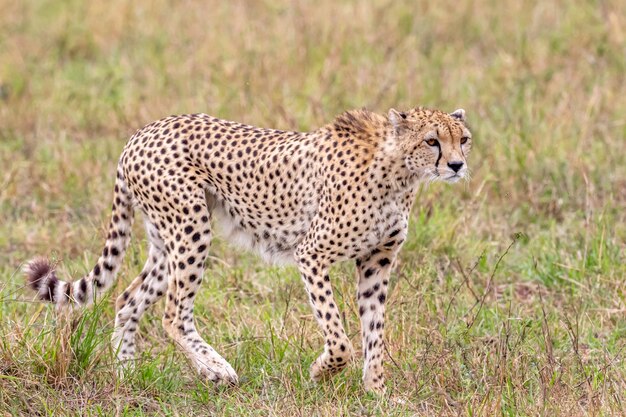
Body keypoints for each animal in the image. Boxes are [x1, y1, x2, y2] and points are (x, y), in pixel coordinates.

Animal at [26, 105, 470, 392]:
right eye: (432, 141)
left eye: (463, 139)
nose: (457, 165)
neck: (399, 172)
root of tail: (143, 131)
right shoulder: (312, 254)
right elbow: (340, 337)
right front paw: (322, 372)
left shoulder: (377, 263)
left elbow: (375, 331)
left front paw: (376, 393)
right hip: (192, 228)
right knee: (173, 313)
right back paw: (217, 371)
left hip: (166, 239)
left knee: (128, 298)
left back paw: (128, 374)